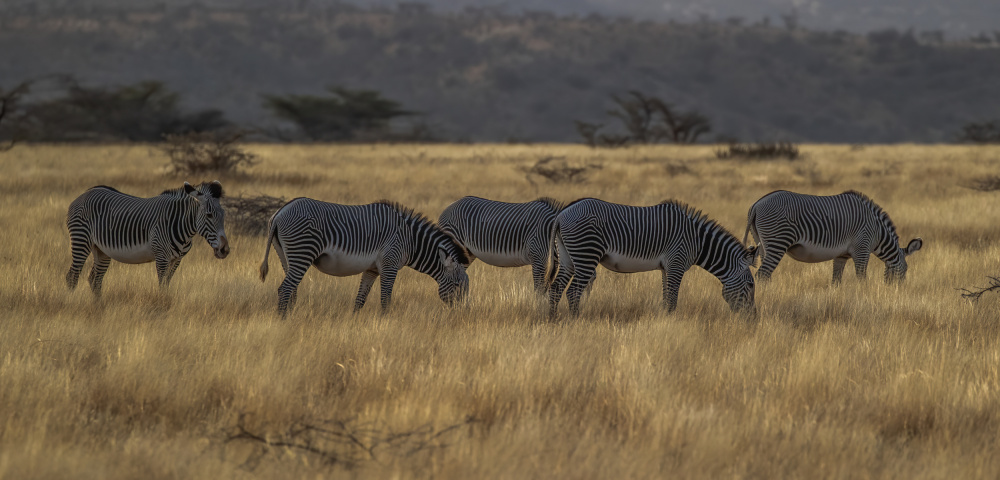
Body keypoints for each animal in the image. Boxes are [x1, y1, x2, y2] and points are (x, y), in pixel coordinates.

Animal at [65, 181, 229, 296]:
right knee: (72, 277)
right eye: (209, 215)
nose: (225, 250)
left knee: (95, 280)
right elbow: (161, 286)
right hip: (81, 240)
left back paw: (99, 308)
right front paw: (162, 308)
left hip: (101, 250)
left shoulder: (176, 260)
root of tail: (84, 194)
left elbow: (166, 285)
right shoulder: (162, 257)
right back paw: (73, 303)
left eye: (223, 215)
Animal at [258, 197, 468, 316]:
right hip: (302, 251)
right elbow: (385, 299)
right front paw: (386, 323)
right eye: (457, 285)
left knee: (292, 290)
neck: (410, 240)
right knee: (285, 289)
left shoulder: (372, 269)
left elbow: (360, 299)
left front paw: (354, 323)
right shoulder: (390, 264)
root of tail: (279, 213)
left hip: (286, 256)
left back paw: (290, 318)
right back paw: (283, 320)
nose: (461, 315)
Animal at [548, 197, 756, 316]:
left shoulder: (666, 268)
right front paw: (670, 325)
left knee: (556, 288)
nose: (753, 319)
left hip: (568, 257)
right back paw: (576, 320)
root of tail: (562, 214)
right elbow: (672, 300)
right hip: (586, 253)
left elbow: (666, 298)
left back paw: (553, 319)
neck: (698, 241)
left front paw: (664, 321)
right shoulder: (676, 263)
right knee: (573, 291)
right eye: (751, 285)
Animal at [744, 189, 920, 284]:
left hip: (762, 243)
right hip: (777, 241)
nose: (898, 292)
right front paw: (864, 298)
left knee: (764, 275)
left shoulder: (841, 255)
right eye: (906, 269)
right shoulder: (862, 249)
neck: (877, 231)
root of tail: (757, 205)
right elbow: (862, 278)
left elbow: (836, 281)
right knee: (762, 274)